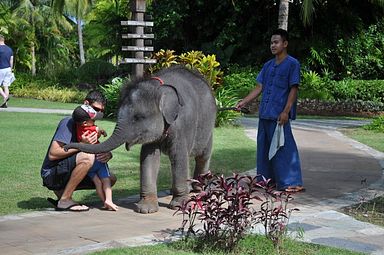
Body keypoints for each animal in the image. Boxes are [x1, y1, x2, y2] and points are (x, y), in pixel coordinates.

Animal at [64, 65, 218, 213]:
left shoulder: (183, 125)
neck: (159, 87)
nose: (65, 147)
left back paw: (200, 189)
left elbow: (179, 156)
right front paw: (146, 209)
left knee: (203, 156)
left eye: (138, 118)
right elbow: (148, 158)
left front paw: (179, 205)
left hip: (208, 127)